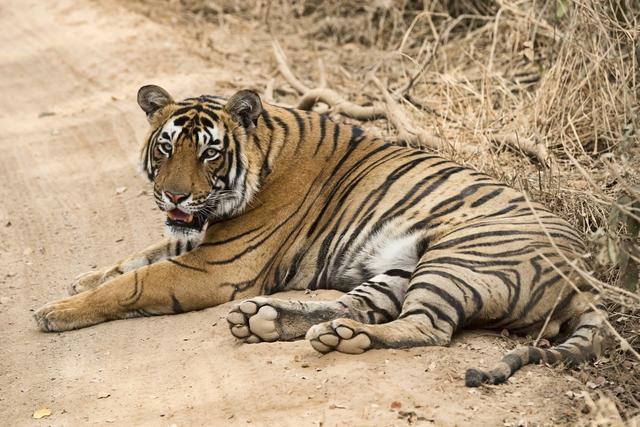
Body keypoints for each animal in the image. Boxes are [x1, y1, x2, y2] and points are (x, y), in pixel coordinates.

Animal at [33, 84, 604, 388]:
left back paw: (340, 339)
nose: (173, 197)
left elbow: (134, 282)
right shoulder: (198, 239)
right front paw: (79, 282)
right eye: (167, 147)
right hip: (401, 267)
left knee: (426, 328)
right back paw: (270, 322)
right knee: (355, 306)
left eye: (210, 153)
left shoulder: (220, 266)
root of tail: (590, 277)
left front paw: (54, 311)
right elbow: (134, 258)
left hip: (458, 258)